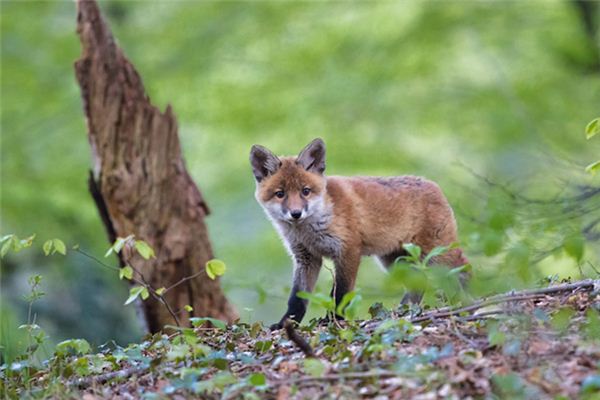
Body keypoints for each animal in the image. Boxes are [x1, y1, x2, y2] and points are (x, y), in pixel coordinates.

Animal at [250, 138, 468, 328]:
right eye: (280, 194)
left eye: (305, 191)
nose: (296, 213)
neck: (309, 230)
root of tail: (433, 185)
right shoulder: (306, 258)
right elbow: (297, 299)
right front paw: (285, 324)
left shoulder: (348, 251)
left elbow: (341, 294)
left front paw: (334, 320)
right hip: (395, 262)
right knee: (418, 284)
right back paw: (403, 312)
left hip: (437, 255)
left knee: (464, 270)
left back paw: (466, 301)